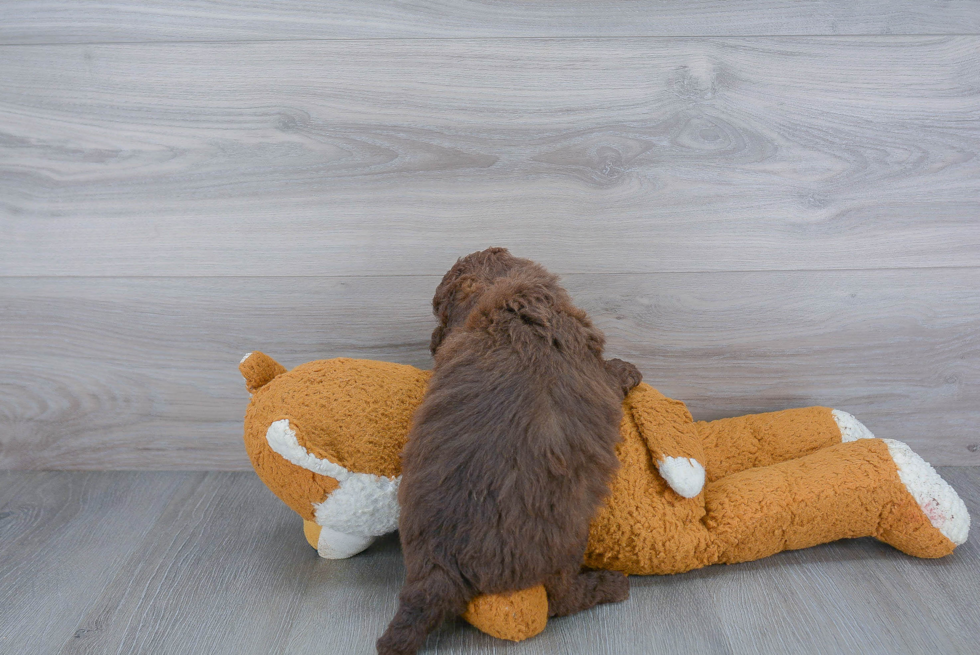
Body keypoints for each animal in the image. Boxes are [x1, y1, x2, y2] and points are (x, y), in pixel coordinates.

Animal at [378, 249, 644, 652]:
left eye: (440, 314)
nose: (433, 343)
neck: (506, 299)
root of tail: (441, 565)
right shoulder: (593, 369)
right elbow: (612, 377)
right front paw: (628, 369)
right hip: (566, 540)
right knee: (562, 598)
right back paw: (610, 584)